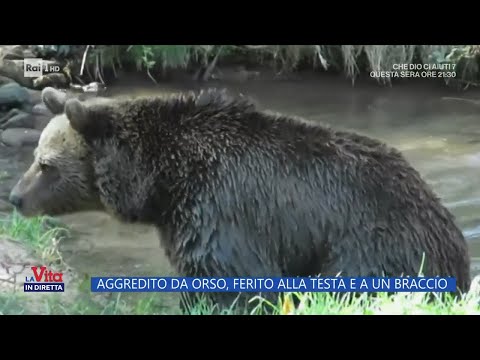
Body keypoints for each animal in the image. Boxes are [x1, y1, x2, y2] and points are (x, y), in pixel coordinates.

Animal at [9, 86, 470, 312]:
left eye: (45, 164)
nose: (15, 197)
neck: (161, 182)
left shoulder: (221, 207)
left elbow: (228, 281)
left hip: (373, 241)